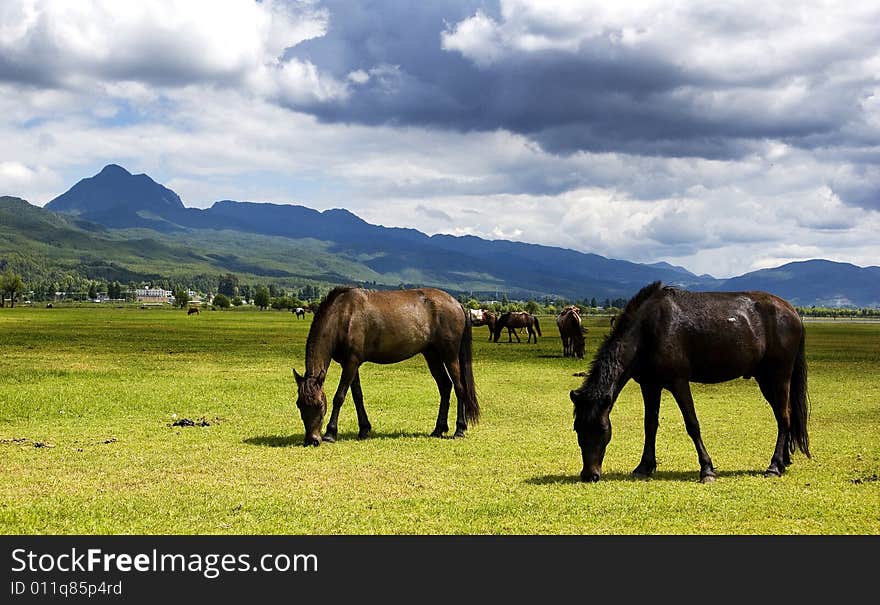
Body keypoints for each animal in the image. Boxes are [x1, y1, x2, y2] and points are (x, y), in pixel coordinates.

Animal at [292, 286, 478, 446]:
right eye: (299, 405)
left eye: (320, 404)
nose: (312, 440)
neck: (343, 316)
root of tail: (457, 303)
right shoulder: (351, 364)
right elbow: (357, 396)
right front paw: (364, 429)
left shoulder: (351, 363)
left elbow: (339, 397)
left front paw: (330, 433)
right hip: (432, 355)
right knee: (445, 386)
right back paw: (439, 429)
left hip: (450, 356)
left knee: (459, 388)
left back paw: (460, 429)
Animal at [572, 280, 812, 484]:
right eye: (577, 429)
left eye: (602, 428)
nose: (589, 475)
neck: (649, 330)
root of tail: (792, 312)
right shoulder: (650, 385)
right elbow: (650, 425)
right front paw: (644, 467)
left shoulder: (679, 382)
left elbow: (692, 424)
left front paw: (707, 470)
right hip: (766, 380)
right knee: (785, 417)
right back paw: (783, 462)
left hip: (778, 377)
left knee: (783, 417)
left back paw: (774, 466)